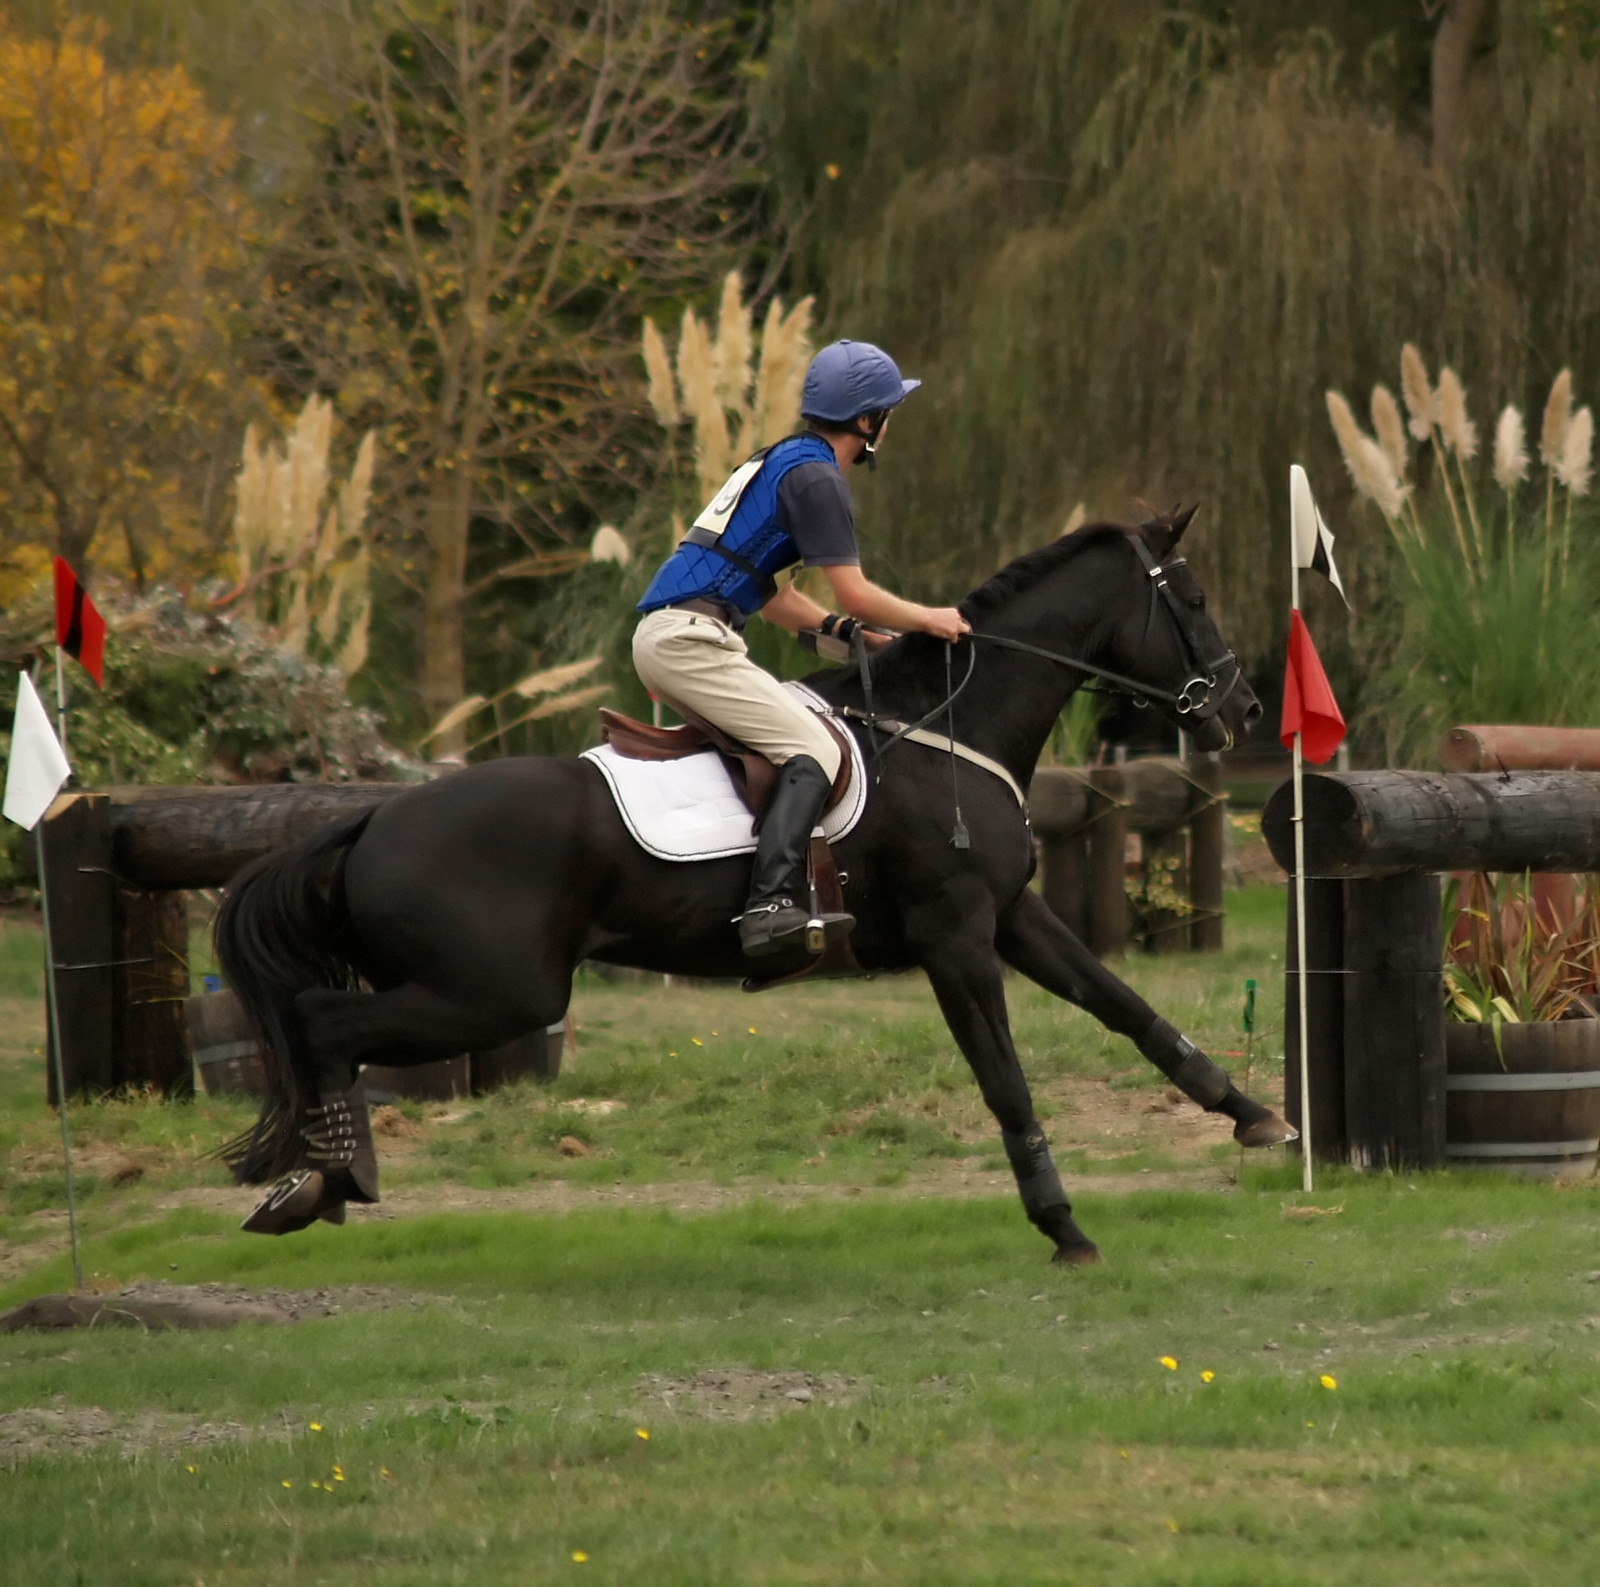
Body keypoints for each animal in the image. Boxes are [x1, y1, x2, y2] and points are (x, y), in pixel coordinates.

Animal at [215, 507, 1292, 1263]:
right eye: (1194, 601)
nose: (1244, 708)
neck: (949, 725)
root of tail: (373, 818)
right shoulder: (954, 937)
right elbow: (1005, 1079)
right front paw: (1062, 1224)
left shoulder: (1013, 915)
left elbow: (1126, 1007)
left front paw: (1253, 1115)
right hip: (496, 992)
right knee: (323, 1022)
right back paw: (327, 1181)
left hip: (480, 990)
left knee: (320, 1025)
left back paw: (319, 1182)